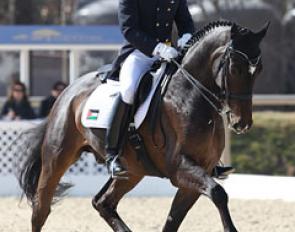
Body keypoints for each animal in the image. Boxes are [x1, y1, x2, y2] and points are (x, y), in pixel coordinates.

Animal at [17, 20, 268, 231]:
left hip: (132, 170)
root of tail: (68, 91)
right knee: (41, 208)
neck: (188, 95)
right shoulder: (180, 168)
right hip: (57, 157)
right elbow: (218, 193)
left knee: (102, 203)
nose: (242, 123)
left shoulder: (197, 174)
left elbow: (174, 220)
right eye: (234, 68)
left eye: (259, 71)